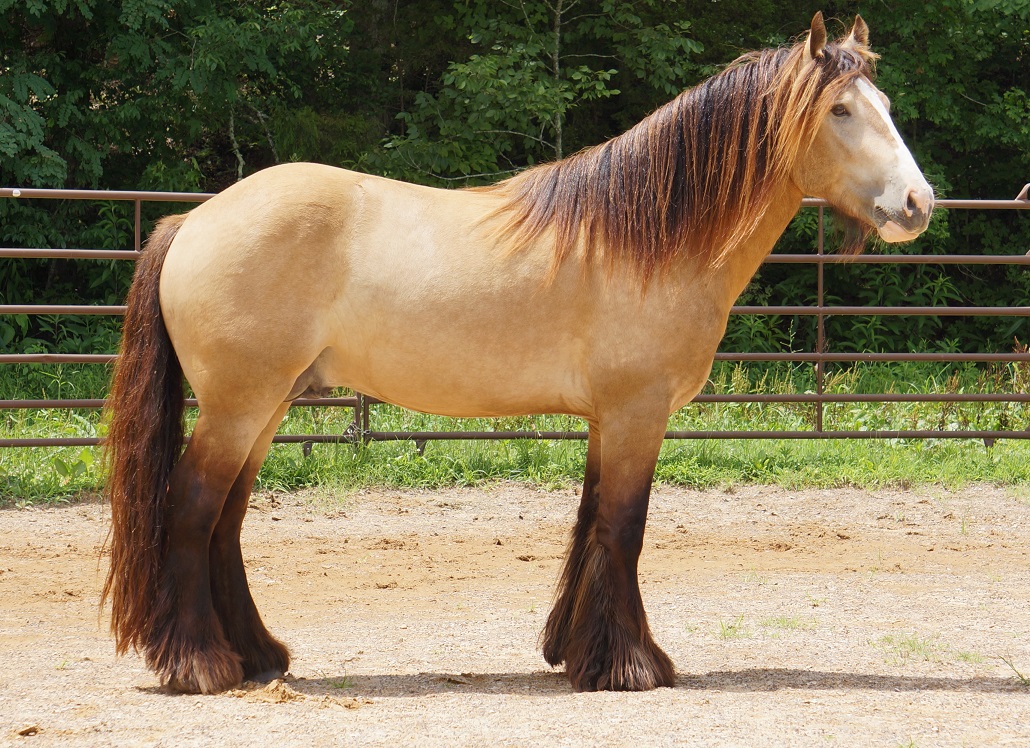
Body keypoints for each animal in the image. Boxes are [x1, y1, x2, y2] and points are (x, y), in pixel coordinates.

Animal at [103, 13, 933, 694]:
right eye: (841, 110)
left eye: (887, 106)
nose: (918, 204)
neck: (650, 239)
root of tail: (193, 220)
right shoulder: (637, 414)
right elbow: (624, 529)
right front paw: (632, 666)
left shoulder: (610, 419)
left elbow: (592, 522)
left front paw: (578, 652)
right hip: (240, 406)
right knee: (192, 509)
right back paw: (200, 666)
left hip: (267, 405)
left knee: (227, 521)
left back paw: (258, 655)